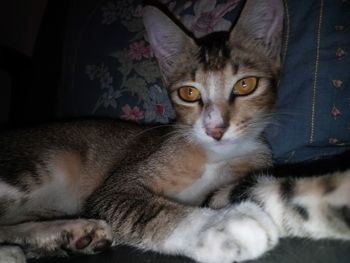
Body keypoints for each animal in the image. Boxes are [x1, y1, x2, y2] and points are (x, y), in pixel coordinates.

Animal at [0, 0, 350, 263]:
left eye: (246, 85)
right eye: (189, 93)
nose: (215, 128)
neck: (214, 157)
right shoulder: (114, 189)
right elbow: (144, 209)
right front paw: (219, 227)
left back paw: (72, 234)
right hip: (38, 167)